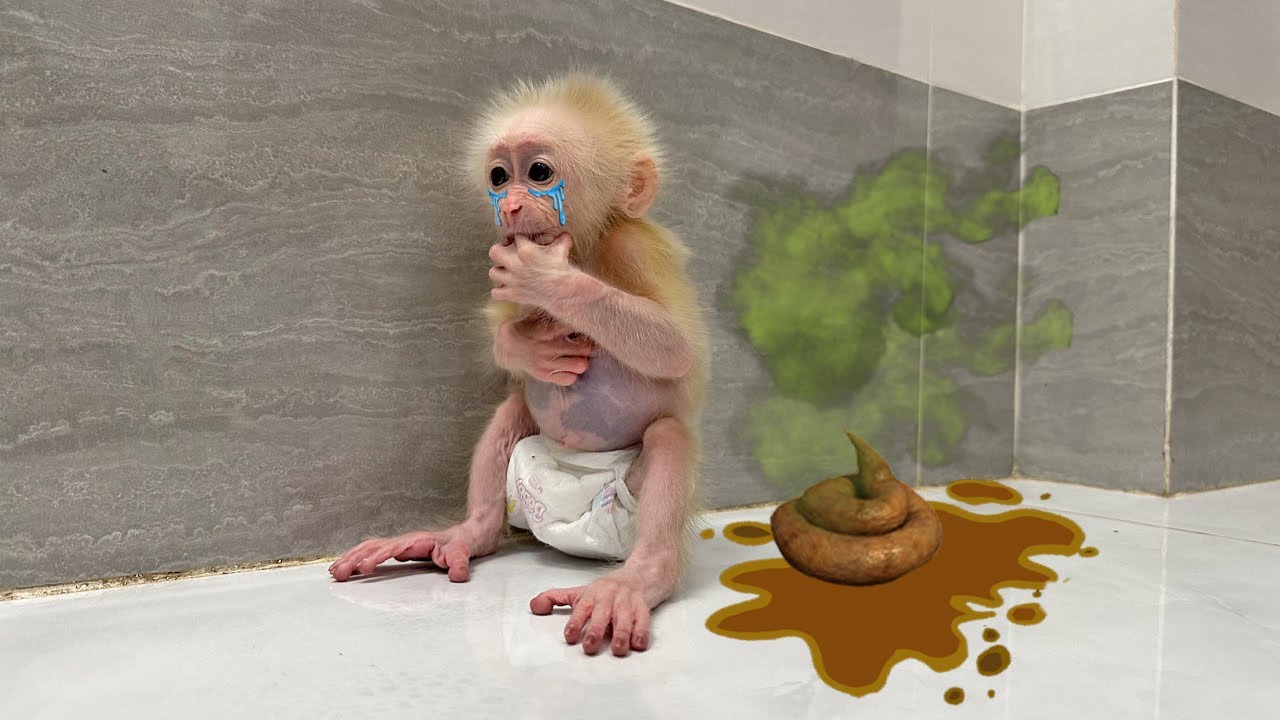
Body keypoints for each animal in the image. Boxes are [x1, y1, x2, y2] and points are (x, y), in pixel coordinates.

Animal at [329, 74, 709, 658]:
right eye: (498, 176)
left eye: (539, 173)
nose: (507, 206)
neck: (584, 250)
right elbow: (498, 334)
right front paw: (527, 347)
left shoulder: (633, 246)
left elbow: (676, 347)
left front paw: (549, 282)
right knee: (511, 411)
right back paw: (466, 533)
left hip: (623, 510)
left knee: (668, 436)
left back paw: (635, 581)